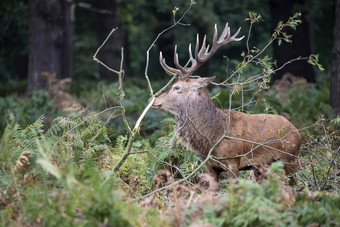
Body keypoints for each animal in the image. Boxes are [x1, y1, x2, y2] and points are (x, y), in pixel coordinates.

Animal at [151, 22, 300, 184]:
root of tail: (297, 131)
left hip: (291, 159)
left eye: (177, 87)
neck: (212, 138)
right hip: (264, 166)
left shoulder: (233, 161)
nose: (154, 100)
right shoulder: (209, 166)